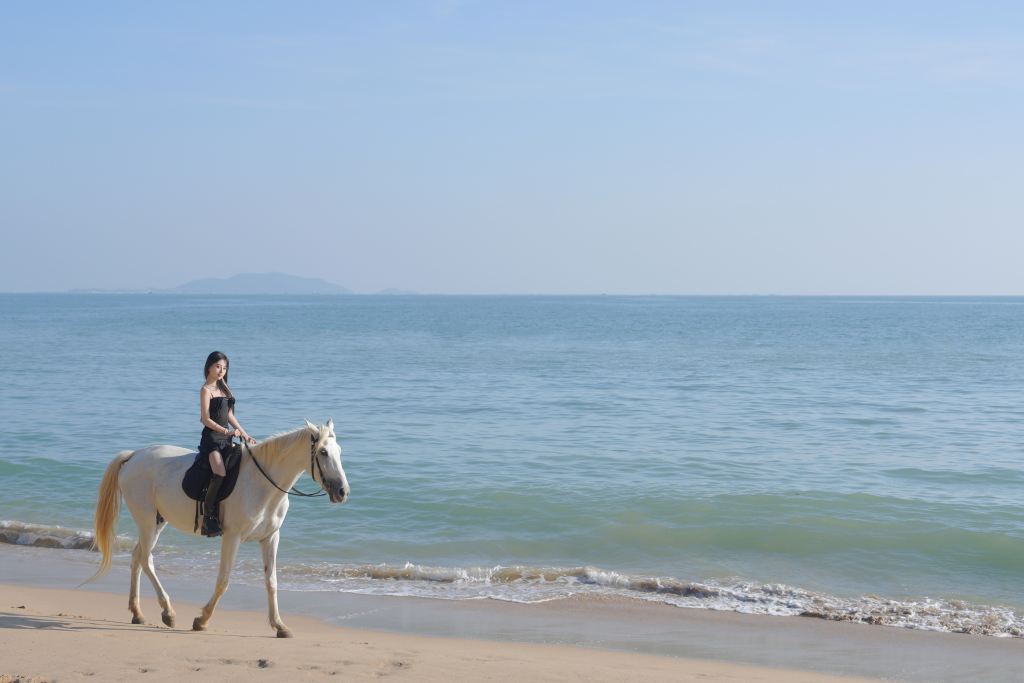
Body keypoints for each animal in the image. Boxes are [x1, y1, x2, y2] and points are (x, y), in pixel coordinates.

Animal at [88, 419, 349, 638]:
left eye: (339, 451)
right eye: (323, 452)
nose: (342, 491)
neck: (261, 483)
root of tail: (133, 456)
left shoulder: (270, 538)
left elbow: (272, 581)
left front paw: (280, 626)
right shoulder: (232, 536)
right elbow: (223, 580)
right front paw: (201, 620)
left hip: (157, 522)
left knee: (137, 557)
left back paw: (138, 613)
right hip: (147, 520)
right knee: (145, 559)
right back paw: (168, 613)